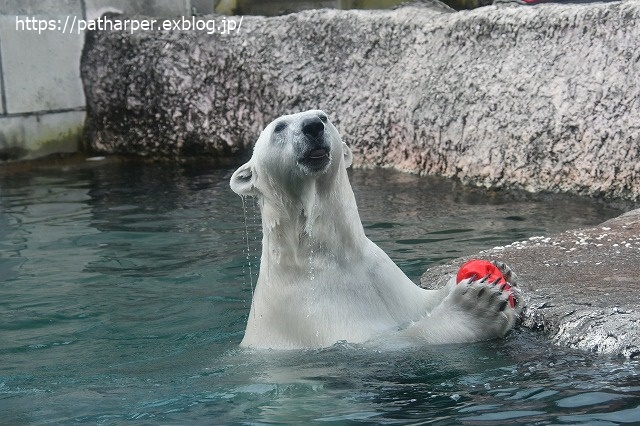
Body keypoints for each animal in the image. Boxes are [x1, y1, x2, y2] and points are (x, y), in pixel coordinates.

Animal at [230, 110, 520, 350]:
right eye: (279, 127)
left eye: (323, 116)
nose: (313, 126)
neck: (330, 259)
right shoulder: (310, 313)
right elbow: (389, 342)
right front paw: (477, 306)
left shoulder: (383, 276)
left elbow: (419, 304)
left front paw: (503, 272)